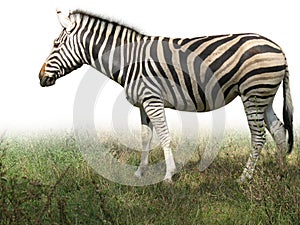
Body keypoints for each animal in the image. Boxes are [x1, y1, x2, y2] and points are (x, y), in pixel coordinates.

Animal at [39, 9, 292, 183]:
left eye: (55, 44)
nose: (40, 77)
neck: (128, 60)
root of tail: (279, 48)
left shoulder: (153, 100)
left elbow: (164, 136)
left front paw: (169, 175)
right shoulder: (143, 104)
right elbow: (145, 138)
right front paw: (140, 172)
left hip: (253, 92)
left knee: (259, 136)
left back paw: (245, 178)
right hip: (264, 95)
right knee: (279, 130)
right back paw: (281, 172)